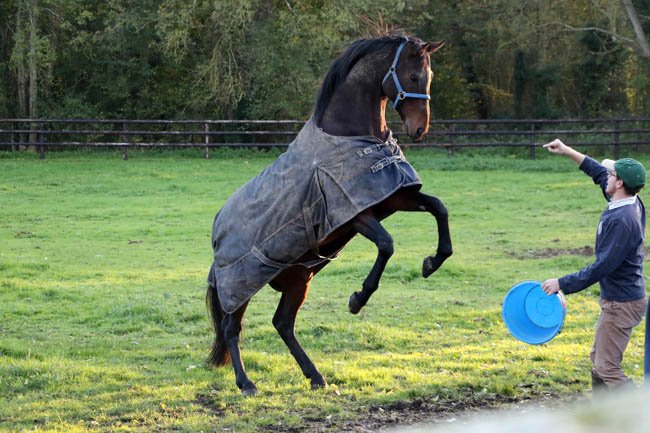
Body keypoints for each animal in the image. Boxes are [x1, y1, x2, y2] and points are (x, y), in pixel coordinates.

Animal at [206, 32, 452, 396]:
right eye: (413, 77)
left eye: (429, 77)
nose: (420, 129)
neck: (350, 136)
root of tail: (217, 237)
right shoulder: (354, 214)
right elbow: (387, 245)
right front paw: (358, 299)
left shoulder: (392, 198)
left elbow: (439, 208)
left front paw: (431, 263)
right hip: (241, 284)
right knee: (231, 327)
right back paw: (246, 383)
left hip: (298, 279)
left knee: (282, 323)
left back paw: (315, 376)